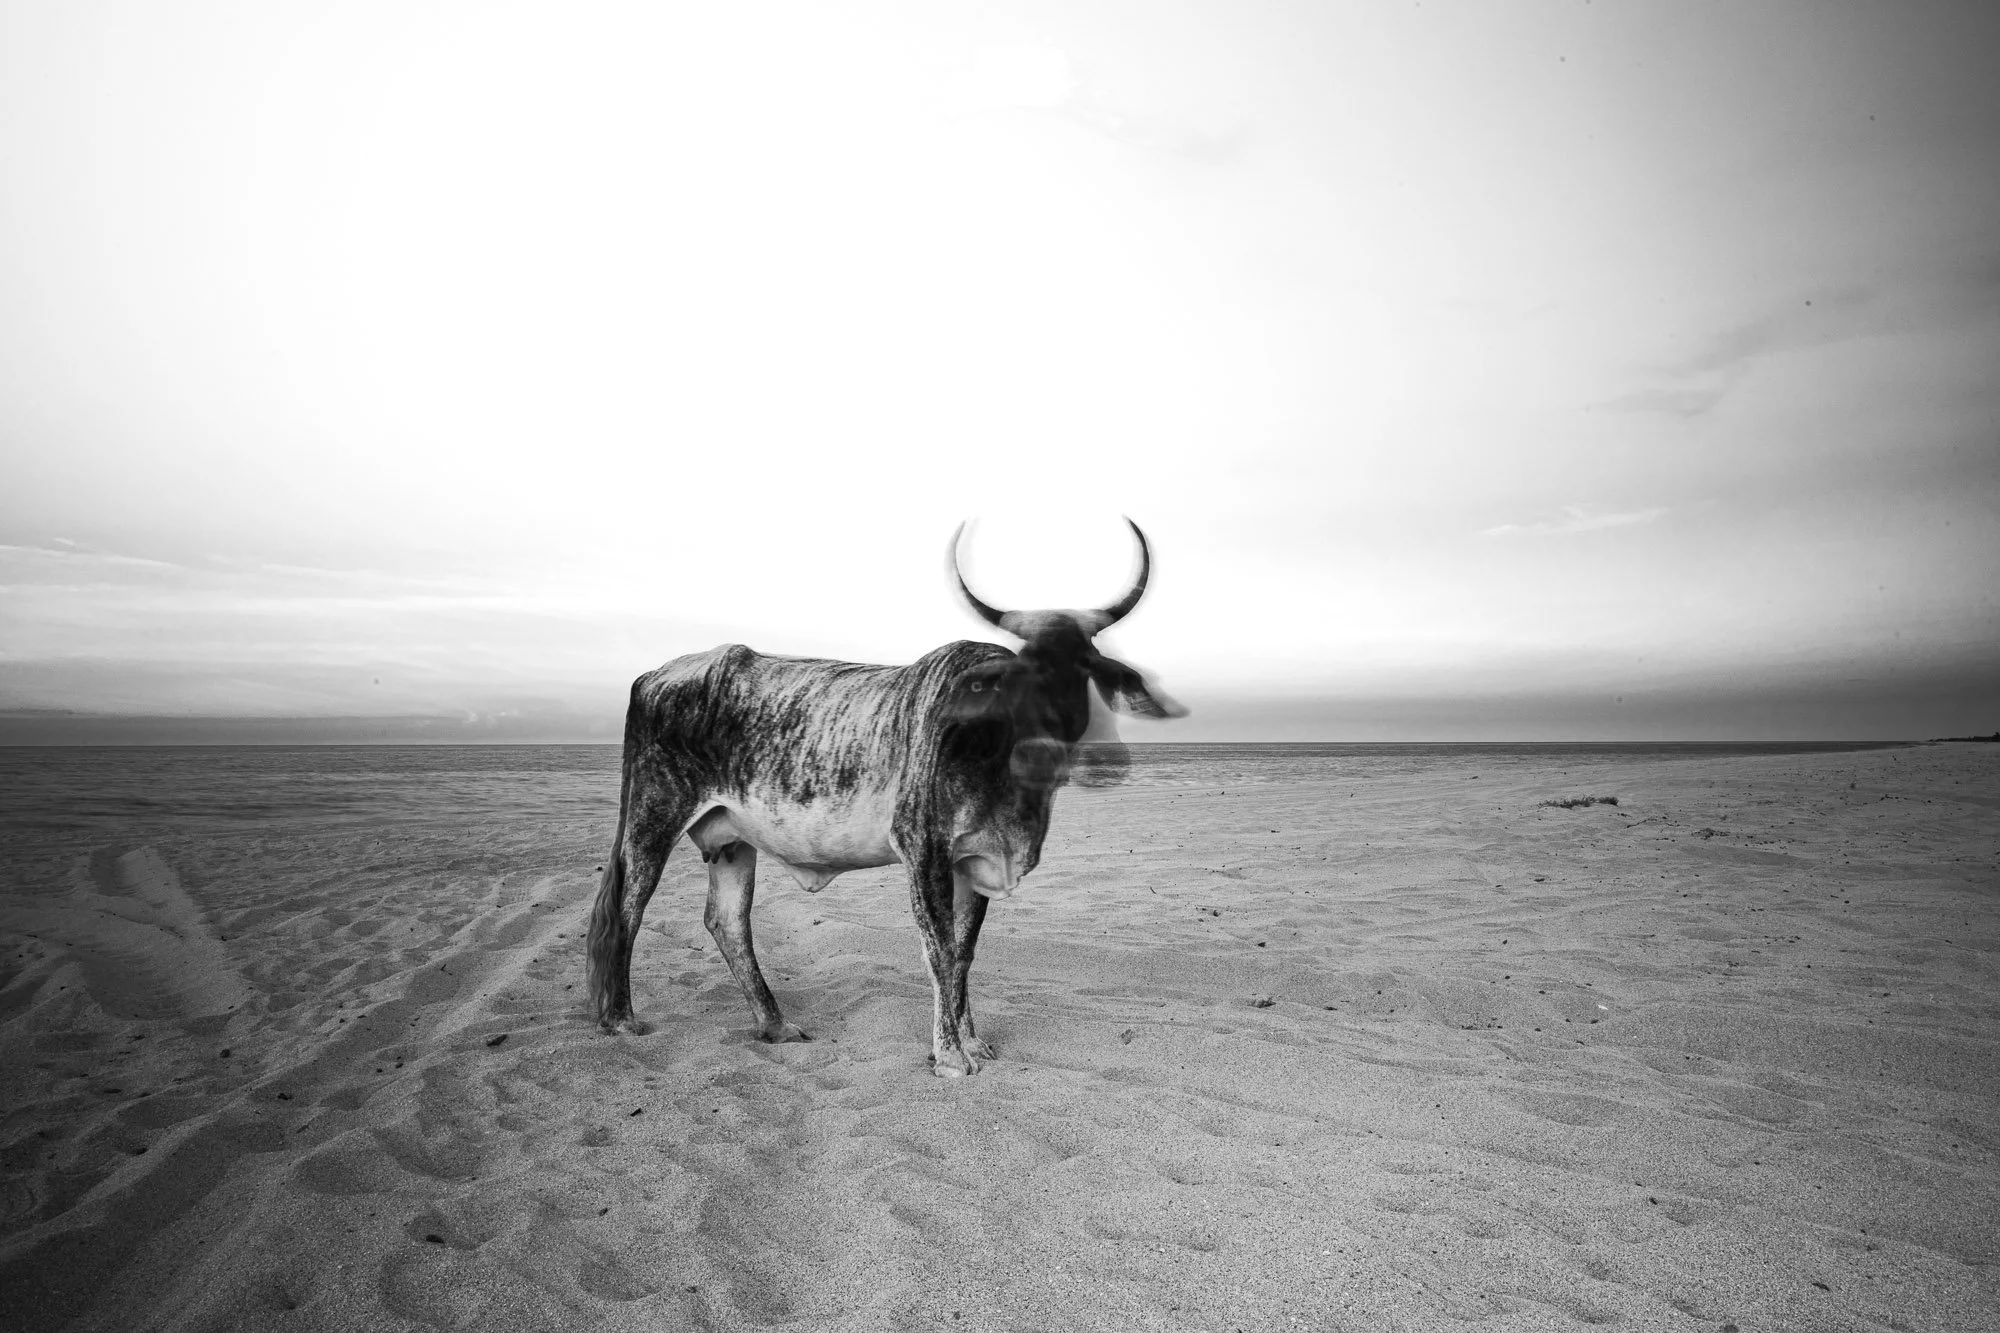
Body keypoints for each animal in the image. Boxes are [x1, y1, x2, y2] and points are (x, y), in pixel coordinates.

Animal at [584, 519, 1182, 1076]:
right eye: (1021, 677)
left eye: (1085, 670)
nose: (1053, 738)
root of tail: (658, 673)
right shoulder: (922, 848)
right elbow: (940, 950)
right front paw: (949, 1055)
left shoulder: (973, 860)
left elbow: (964, 952)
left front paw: (971, 1042)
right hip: (652, 816)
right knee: (628, 906)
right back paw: (621, 1020)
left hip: (732, 840)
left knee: (727, 921)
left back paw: (775, 1025)